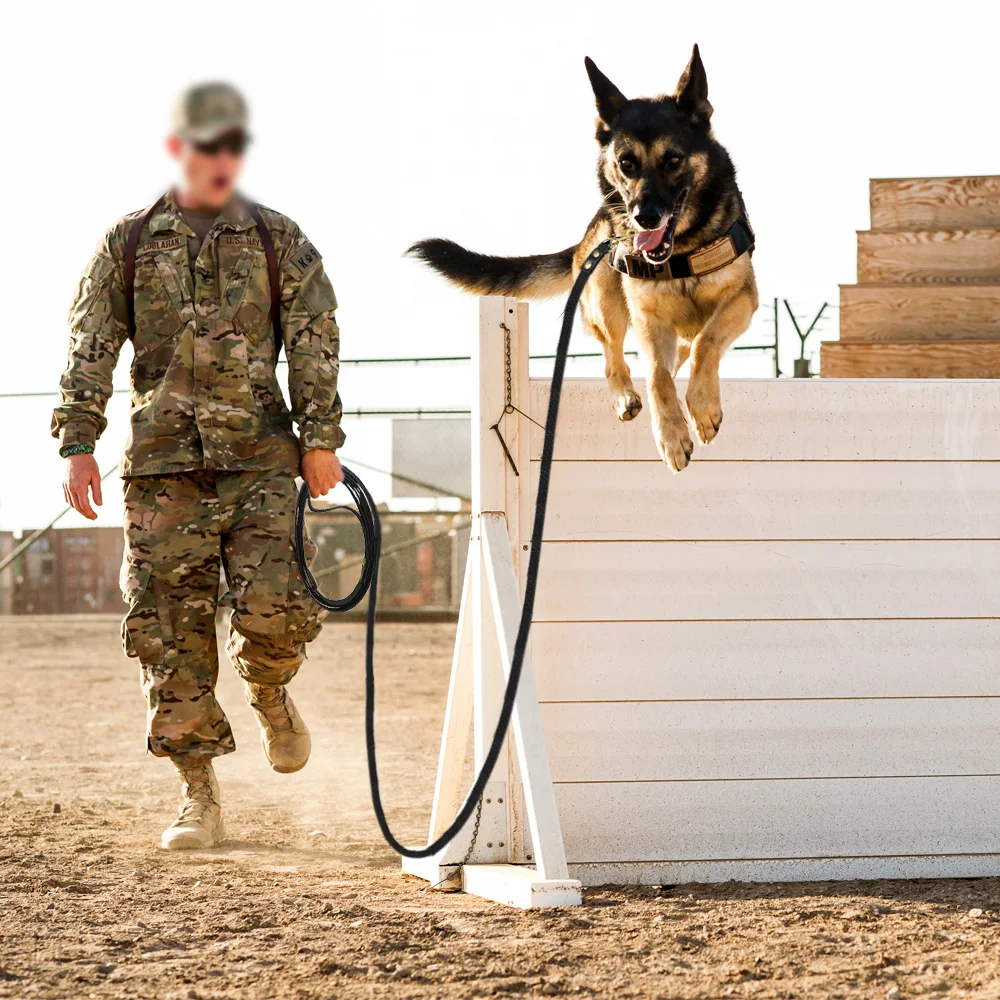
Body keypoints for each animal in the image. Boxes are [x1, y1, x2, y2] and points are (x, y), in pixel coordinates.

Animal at [406, 45, 756, 470]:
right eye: (626, 163)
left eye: (673, 160)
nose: (644, 216)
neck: (684, 249)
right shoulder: (647, 319)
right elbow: (657, 376)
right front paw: (672, 435)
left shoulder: (742, 299)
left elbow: (706, 343)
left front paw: (702, 409)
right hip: (604, 296)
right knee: (614, 358)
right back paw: (624, 395)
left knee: (685, 350)